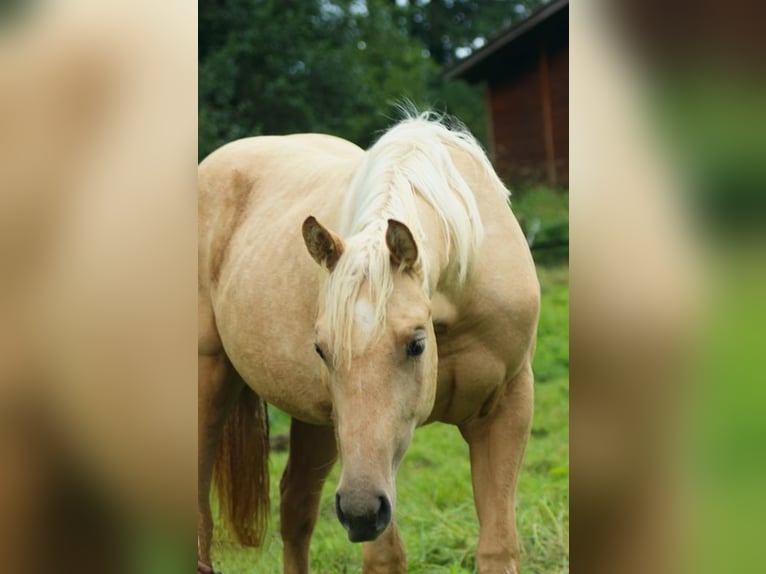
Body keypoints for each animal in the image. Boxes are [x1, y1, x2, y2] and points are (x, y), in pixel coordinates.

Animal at [198, 113, 540, 574]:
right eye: (321, 350)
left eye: (416, 344)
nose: (360, 512)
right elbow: (385, 556)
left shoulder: (506, 409)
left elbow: (498, 546)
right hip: (212, 379)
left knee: (296, 507)